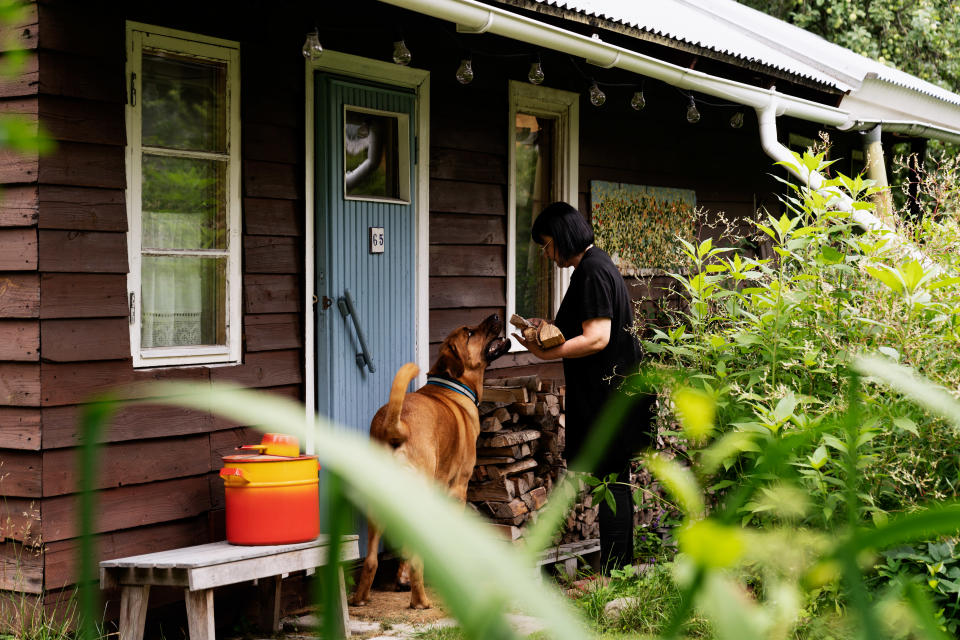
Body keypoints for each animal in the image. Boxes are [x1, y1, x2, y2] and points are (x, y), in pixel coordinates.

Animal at [350, 316, 512, 608]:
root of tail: (397, 425)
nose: (495, 316)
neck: (452, 383)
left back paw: (361, 598)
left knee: (371, 560)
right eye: (469, 333)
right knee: (416, 561)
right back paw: (420, 601)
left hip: (379, 506)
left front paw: (401, 579)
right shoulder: (458, 490)